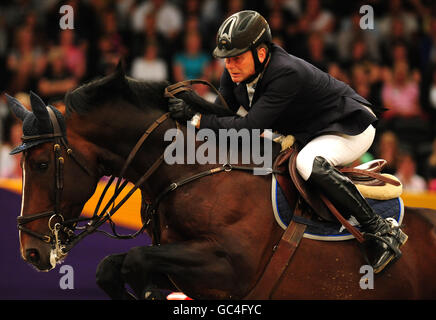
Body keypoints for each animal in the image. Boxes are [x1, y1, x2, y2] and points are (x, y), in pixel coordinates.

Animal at [8, 65, 436, 300]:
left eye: (42, 164)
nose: (31, 253)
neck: (184, 170)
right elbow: (110, 267)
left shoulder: (229, 265)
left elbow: (135, 260)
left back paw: (386, 241)